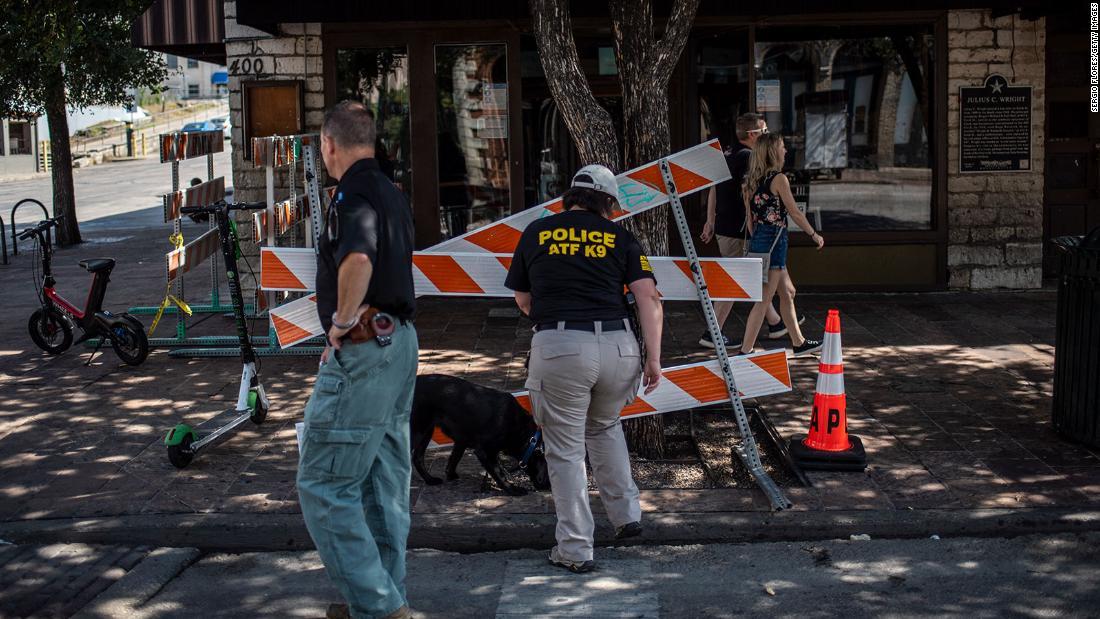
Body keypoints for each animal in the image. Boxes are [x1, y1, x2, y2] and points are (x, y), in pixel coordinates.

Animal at [411, 376, 550, 496]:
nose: (549, 486)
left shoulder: (462, 440)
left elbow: (455, 458)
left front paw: (450, 475)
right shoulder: (485, 451)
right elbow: (499, 472)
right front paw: (513, 489)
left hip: (427, 431)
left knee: (417, 457)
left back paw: (429, 480)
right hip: (418, 431)